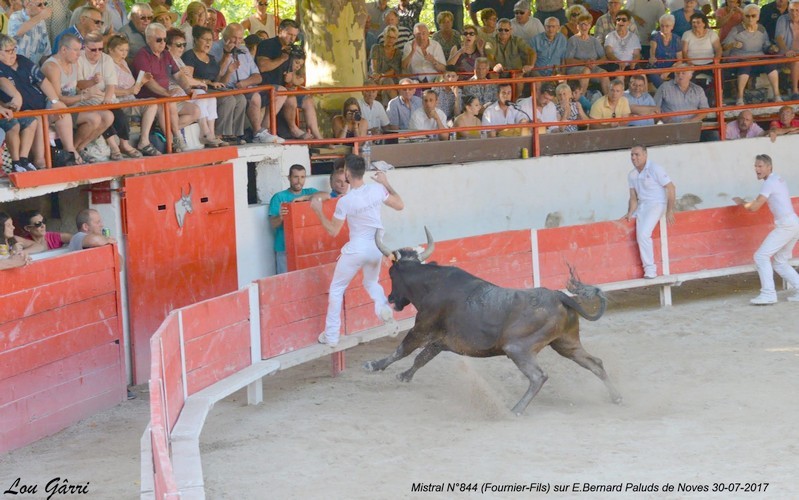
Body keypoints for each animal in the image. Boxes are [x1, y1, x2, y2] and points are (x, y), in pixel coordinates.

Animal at [366, 229, 620, 414]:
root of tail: (559, 295)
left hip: (517, 348)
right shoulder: (440, 340)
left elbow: (403, 350)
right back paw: (616, 397)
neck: (431, 284)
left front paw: (374, 365)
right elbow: (422, 358)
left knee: (539, 376)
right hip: (566, 343)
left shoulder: (422, 328)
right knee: (594, 363)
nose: (392, 299)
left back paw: (516, 409)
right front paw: (404, 376)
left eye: (391, 274)